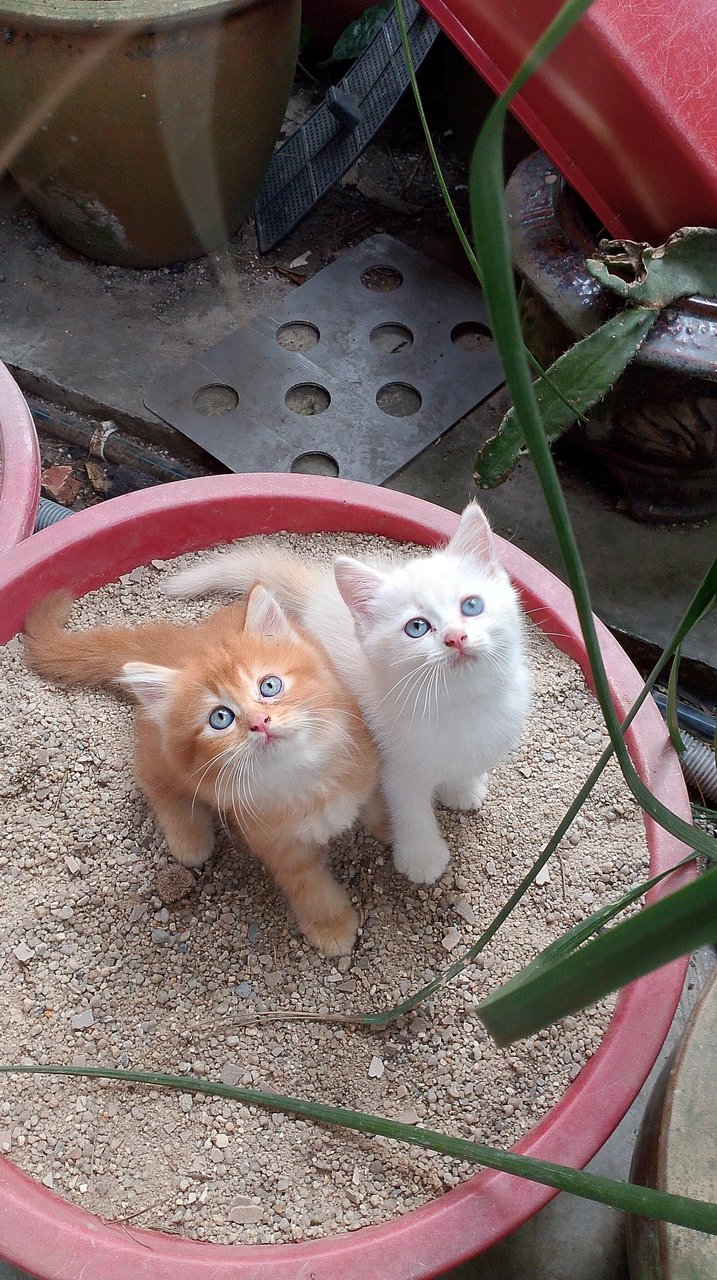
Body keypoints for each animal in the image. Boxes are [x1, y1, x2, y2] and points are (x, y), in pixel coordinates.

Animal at [23, 586, 381, 957]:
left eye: (269, 686)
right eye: (220, 718)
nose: (259, 722)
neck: (303, 775)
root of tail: (175, 644)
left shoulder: (365, 768)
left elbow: (380, 810)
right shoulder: (278, 844)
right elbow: (309, 887)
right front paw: (331, 926)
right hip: (163, 756)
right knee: (150, 776)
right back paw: (189, 837)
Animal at [165, 504, 530, 885]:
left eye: (471, 606)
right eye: (416, 627)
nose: (455, 637)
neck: (462, 703)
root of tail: (318, 592)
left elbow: (466, 765)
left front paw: (463, 788)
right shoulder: (394, 764)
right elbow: (410, 809)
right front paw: (422, 858)